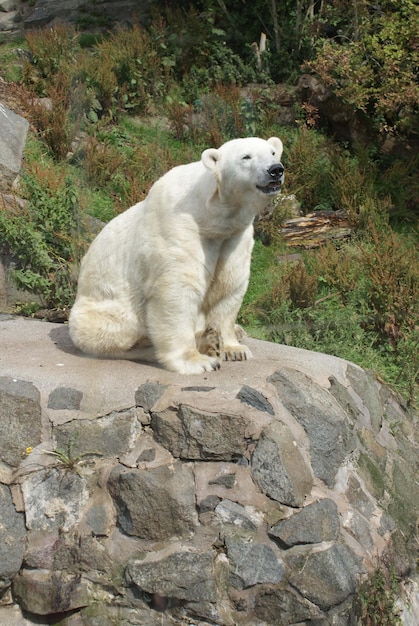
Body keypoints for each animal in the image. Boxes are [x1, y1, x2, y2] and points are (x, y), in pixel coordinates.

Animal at [69, 135, 286, 370]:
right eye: (246, 157)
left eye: (273, 152)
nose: (275, 170)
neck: (212, 216)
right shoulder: (180, 225)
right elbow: (178, 289)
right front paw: (198, 361)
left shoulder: (235, 236)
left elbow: (228, 286)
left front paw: (234, 348)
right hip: (107, 315)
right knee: (116, 338)